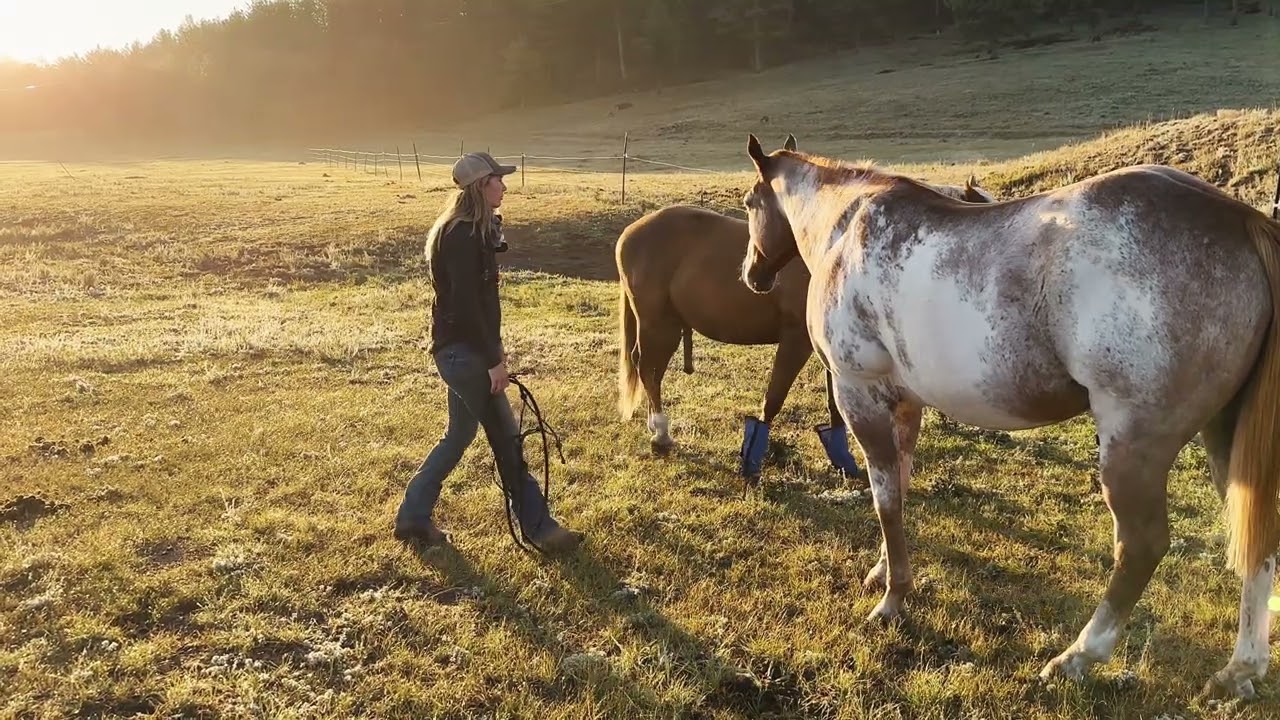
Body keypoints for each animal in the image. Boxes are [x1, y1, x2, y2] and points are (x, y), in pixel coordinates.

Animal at [615, 135, 995, 482]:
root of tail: (631, 232)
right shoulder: (796, 341)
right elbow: (773, 398)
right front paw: (752, 458)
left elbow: (834, 408)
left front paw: (843, 459)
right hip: (658, 324)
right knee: (648, 369)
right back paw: (661, 435)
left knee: (650, 370)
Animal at [739, 133, 1280, 698]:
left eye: (749, 203)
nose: (752, 273)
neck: (848, 224)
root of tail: (1238, 219)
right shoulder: (905, 403)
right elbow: (900, 486)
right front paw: (883, 571)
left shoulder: (859, 394)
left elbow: (885, 499)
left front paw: (893, 598)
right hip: (1227, 436)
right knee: (1259, 539)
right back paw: (1240, 669)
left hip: (1134, 447)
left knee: (1143, 545)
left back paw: (1078, 656)